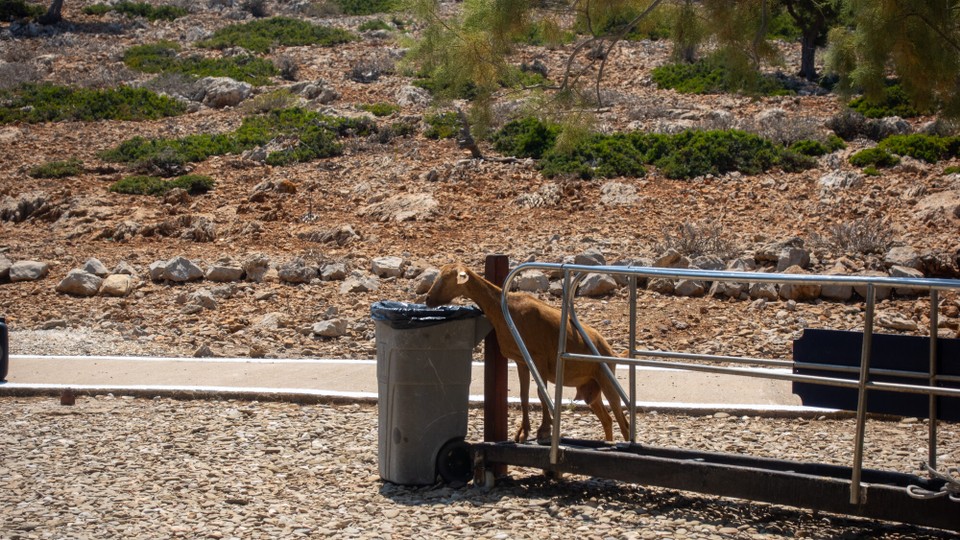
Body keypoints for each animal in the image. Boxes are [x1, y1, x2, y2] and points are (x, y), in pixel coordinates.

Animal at [424, 263, 630, 443]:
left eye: (446, 278)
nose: (427, 299)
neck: (504, 309)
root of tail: (610, 350)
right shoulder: (521, 361)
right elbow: (524, 395)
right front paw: (523, 433)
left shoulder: (539, 358)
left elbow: (540, 392)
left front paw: (544, 430)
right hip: (591, 389)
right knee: (607, 419)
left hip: (606, 378)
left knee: (623, 421)